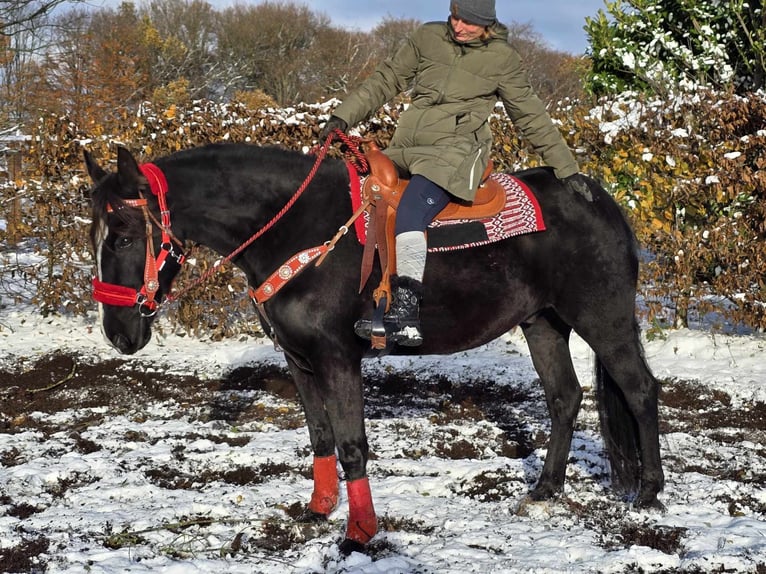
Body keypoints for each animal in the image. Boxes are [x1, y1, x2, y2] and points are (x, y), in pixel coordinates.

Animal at [85, 143, 664, 552]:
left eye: (123, 237)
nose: (118, 333)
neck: (298, 231)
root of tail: (596, 198)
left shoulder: (338, 358)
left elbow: (351, 445)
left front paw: (359, 532)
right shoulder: (299, 360)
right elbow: (320, 438)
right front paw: (319, 509)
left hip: (604, 319)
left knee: (640, 391)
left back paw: (649, 493)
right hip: (542, 323)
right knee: (564, 397)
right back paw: (544, 489)